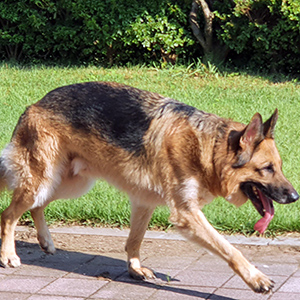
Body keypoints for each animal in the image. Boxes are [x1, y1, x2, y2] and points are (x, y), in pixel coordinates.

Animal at [0, 82, 298, 292]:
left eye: (280, 167)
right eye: (267, 169)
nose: (295, 196)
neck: (207, 148)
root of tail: (35, 104)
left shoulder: (144, 202)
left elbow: (134, 240)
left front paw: (135, 270)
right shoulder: (187, 215)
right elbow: (230, 248)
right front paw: (256, 278)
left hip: (68, 184)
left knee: (35, 207)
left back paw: (46, 241)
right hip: (44, 180)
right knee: (9, 214)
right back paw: (8, 255)